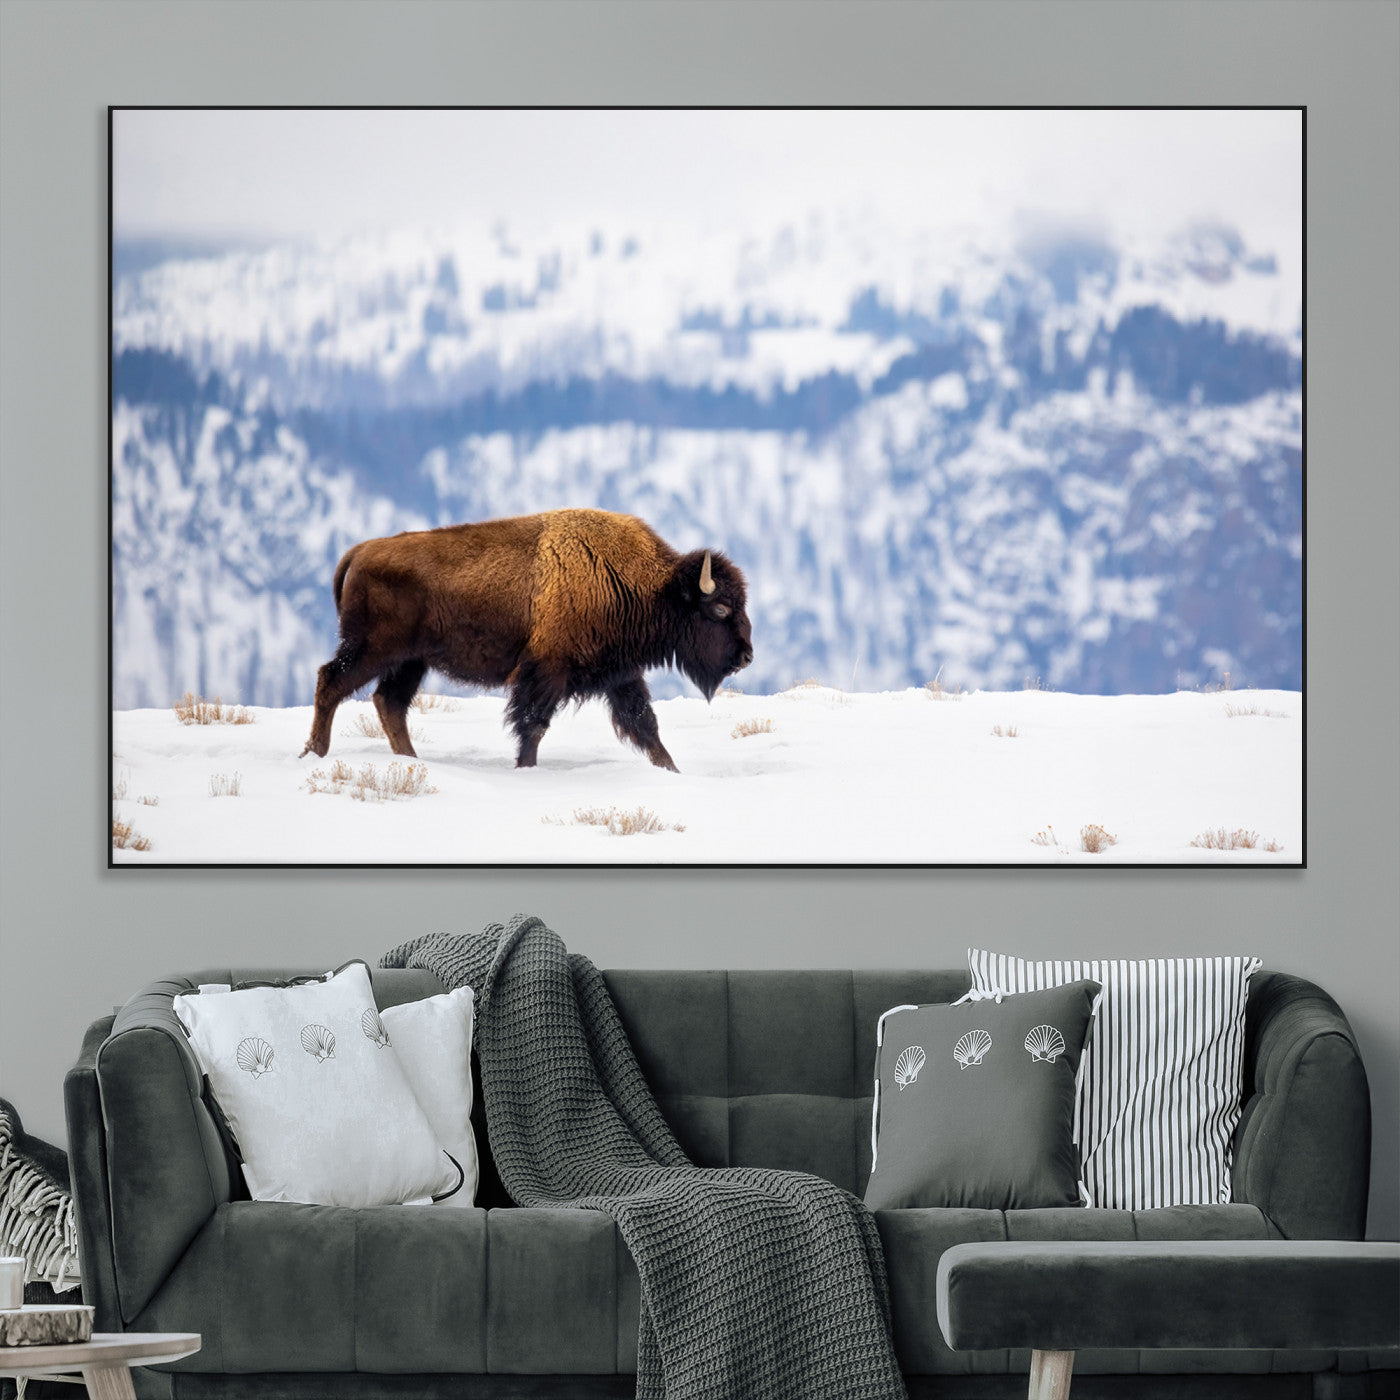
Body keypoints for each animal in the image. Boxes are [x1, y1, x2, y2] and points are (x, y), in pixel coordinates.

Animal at [300, 508, 753, 772]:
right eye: (720, 610)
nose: (747, 656)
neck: (642, 584)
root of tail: (359, 551)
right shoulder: (546, 672)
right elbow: (533, 724)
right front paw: (525, 769)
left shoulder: (621, 675)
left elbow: (646, 725)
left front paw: (672, 771)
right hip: (373, 649)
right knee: (332, 681)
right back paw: (315, 753)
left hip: (411, 660)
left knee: (388, 701)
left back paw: (410, 759)